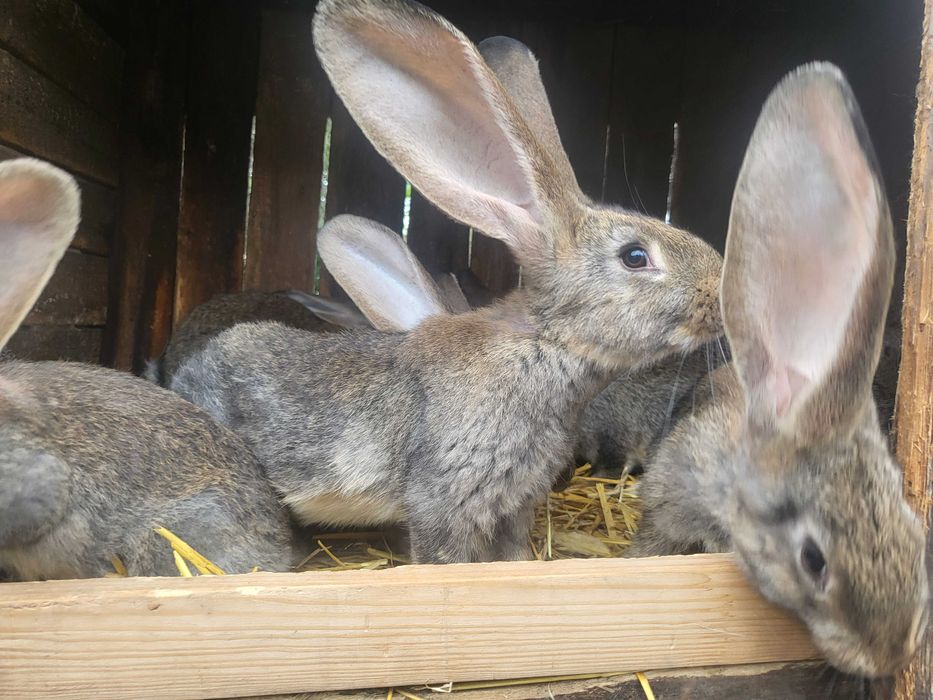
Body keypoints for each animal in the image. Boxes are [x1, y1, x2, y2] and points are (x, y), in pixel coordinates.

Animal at [167, 0, 720, 564]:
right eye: (635, 257)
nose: (718, 291)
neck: (540, 345)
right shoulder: (446, 499)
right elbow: (444, 556)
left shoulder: (515, 501)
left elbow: (513, 553)